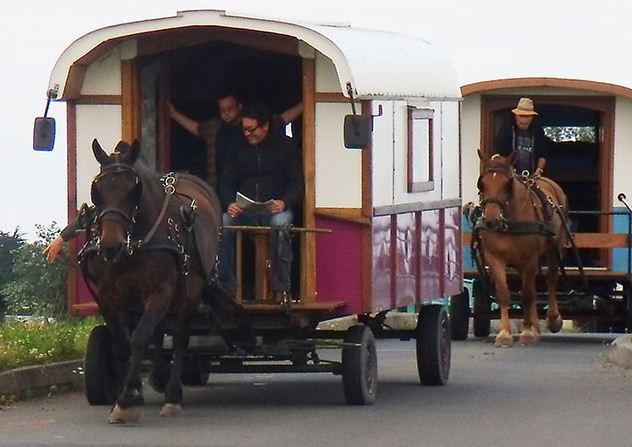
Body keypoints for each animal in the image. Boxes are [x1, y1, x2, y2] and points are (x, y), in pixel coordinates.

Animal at [83, 140, 249, 424]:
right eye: (97, 190)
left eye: (134, 190)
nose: (110, 246)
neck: (135, 245)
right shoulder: (108, 294)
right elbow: (122, 345)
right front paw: (126, 395)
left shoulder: (162, 291)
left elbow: (139, 338)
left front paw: (128, 399)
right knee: (159, 330)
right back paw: (158, 377)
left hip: (190, 293)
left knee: (180, 338)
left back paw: (172, 395)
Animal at [474, 150, 568, 346]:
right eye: (482, 183)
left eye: (508, 183)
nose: (491, 220)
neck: (509, 221)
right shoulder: (494, 258)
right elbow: (504, 293)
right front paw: (504, 334)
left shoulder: (530, 257)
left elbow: (527, 294)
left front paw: (527, 333)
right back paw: (535, 327)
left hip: (553, 250)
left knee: (550, 281)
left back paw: (552, 319)